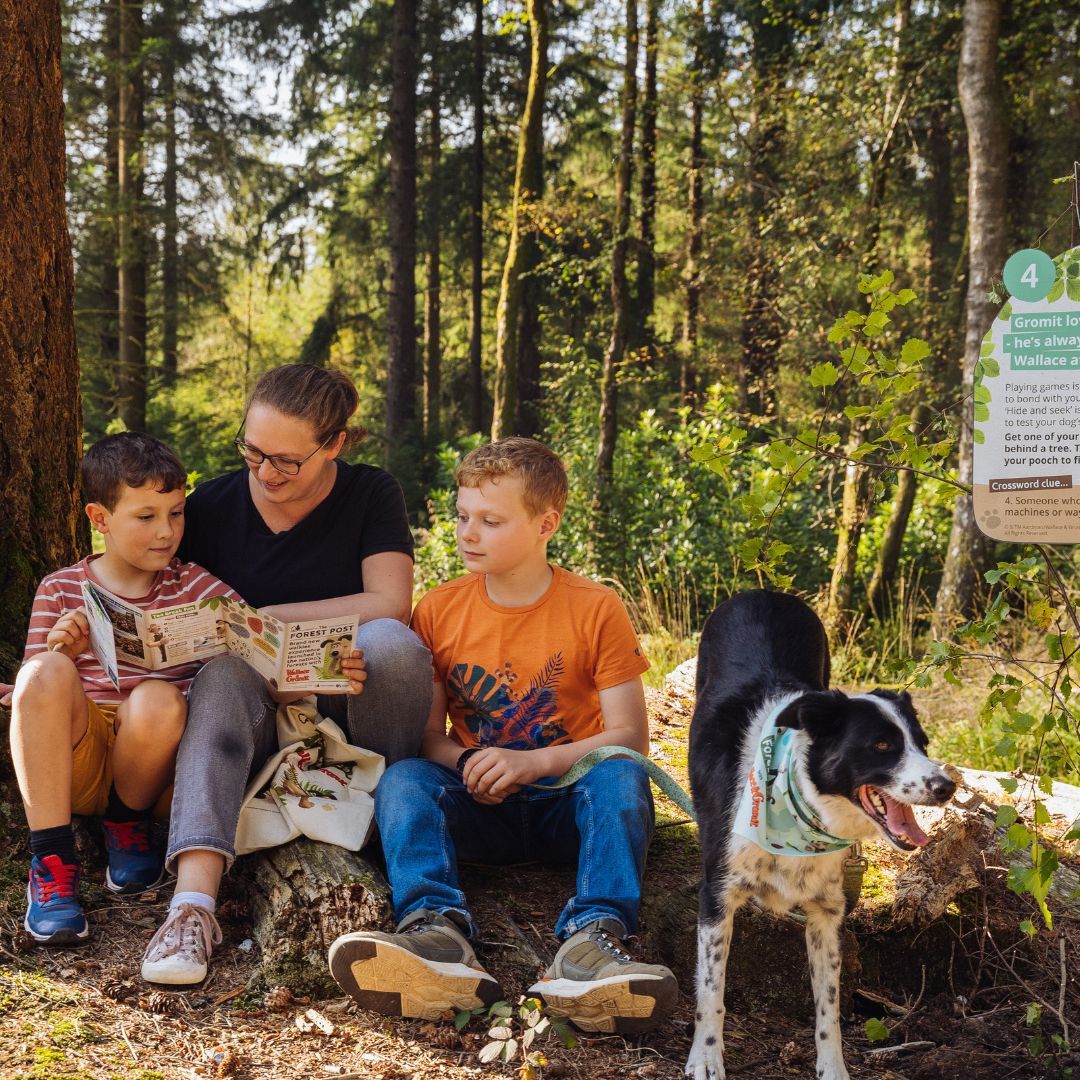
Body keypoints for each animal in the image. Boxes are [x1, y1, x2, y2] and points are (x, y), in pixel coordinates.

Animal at [686, 591, 959, 1080]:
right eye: (883, 746)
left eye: (922, 743)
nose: (947, 787)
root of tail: (764, 592)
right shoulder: (716, 895)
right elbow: (711, 992)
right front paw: (706, 1058)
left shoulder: (828, 914)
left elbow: (828, 1008)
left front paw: (833, 1069)